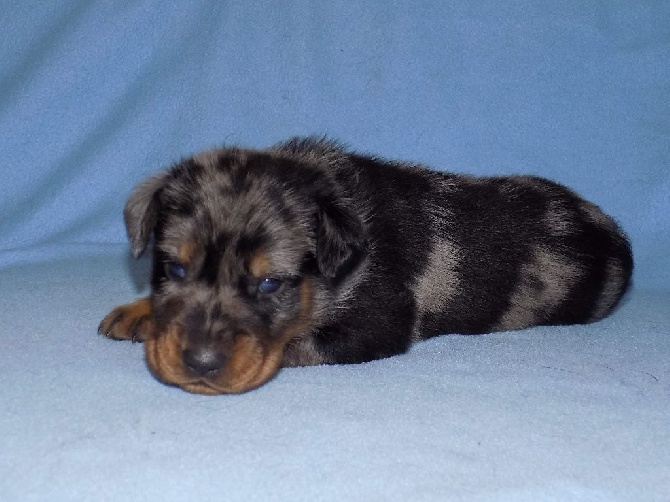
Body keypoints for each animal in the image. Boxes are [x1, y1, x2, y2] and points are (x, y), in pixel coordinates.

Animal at [97, 136, 632, 392]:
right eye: (175, 270)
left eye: (270, 283)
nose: (200, 364)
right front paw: (137, 314)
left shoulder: (377, 320)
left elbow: (297, 343)